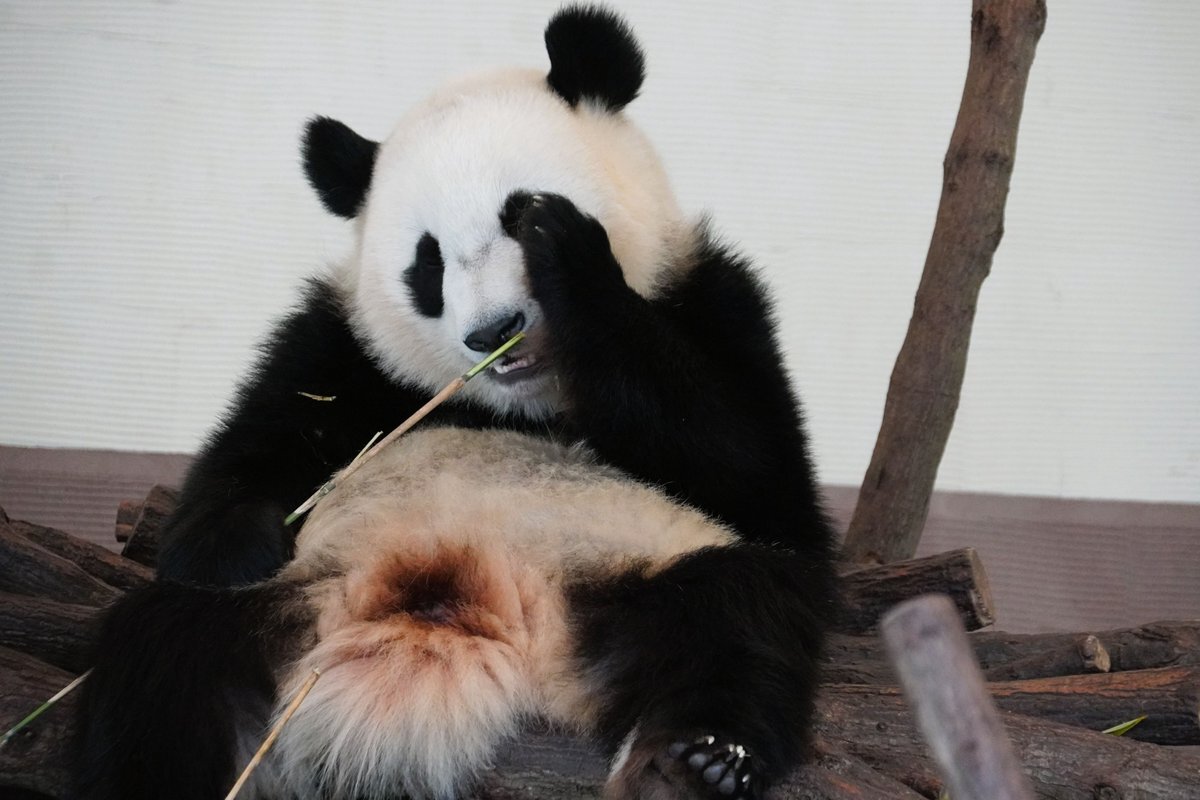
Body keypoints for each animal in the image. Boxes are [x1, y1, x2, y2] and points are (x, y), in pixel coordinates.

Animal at [73, 6, 836, 800]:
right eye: (427, 262)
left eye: (516, 215)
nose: (493, 333)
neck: (525, 403)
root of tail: (483, 607)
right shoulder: (340, 349)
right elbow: (257, 447)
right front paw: (230, 545)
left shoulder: (716, 302)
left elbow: (756, 472)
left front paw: (572, 259)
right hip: (294, 600)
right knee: (164, 660)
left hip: (639, 559)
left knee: (735, 618)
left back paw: (695, 760)